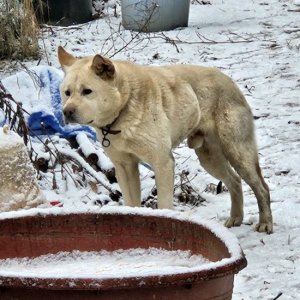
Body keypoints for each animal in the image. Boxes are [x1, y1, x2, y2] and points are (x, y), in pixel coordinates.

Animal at [57, 47, 274, 233]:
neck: (124, 109)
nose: (66, 112)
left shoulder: (163, 163)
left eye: (87, 91)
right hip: (209, 158)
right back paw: (236, 218)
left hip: (238, 153)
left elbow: (164, 205)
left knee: (261, 187)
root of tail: (230, 81)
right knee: (235, 181)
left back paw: (265, 223)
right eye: (67, 93)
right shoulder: (124, 167)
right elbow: (132, 204)